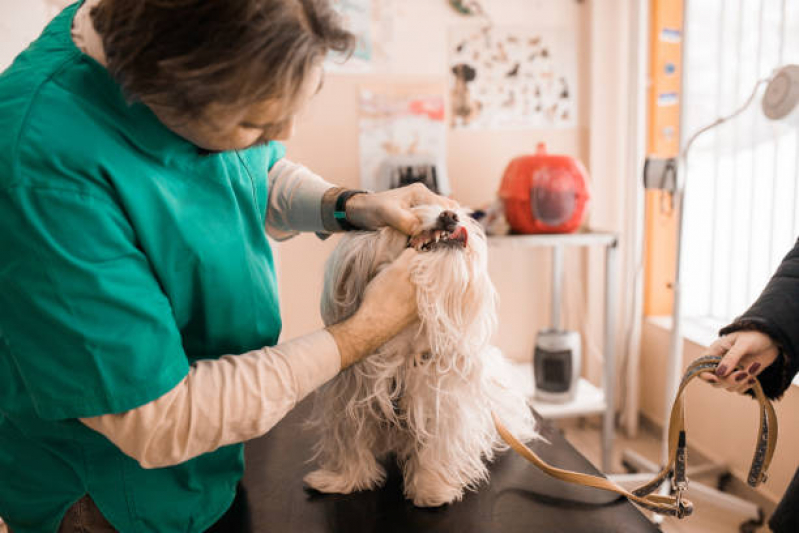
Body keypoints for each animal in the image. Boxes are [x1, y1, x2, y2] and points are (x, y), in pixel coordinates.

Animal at [304, 205, 536, 508]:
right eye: (413, 211)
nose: (450, 214)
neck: (405, 350)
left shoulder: (442, 403)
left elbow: (436, 448)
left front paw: (431, 490)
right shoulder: (348, 401)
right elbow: (350, 444)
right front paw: (343, 479)